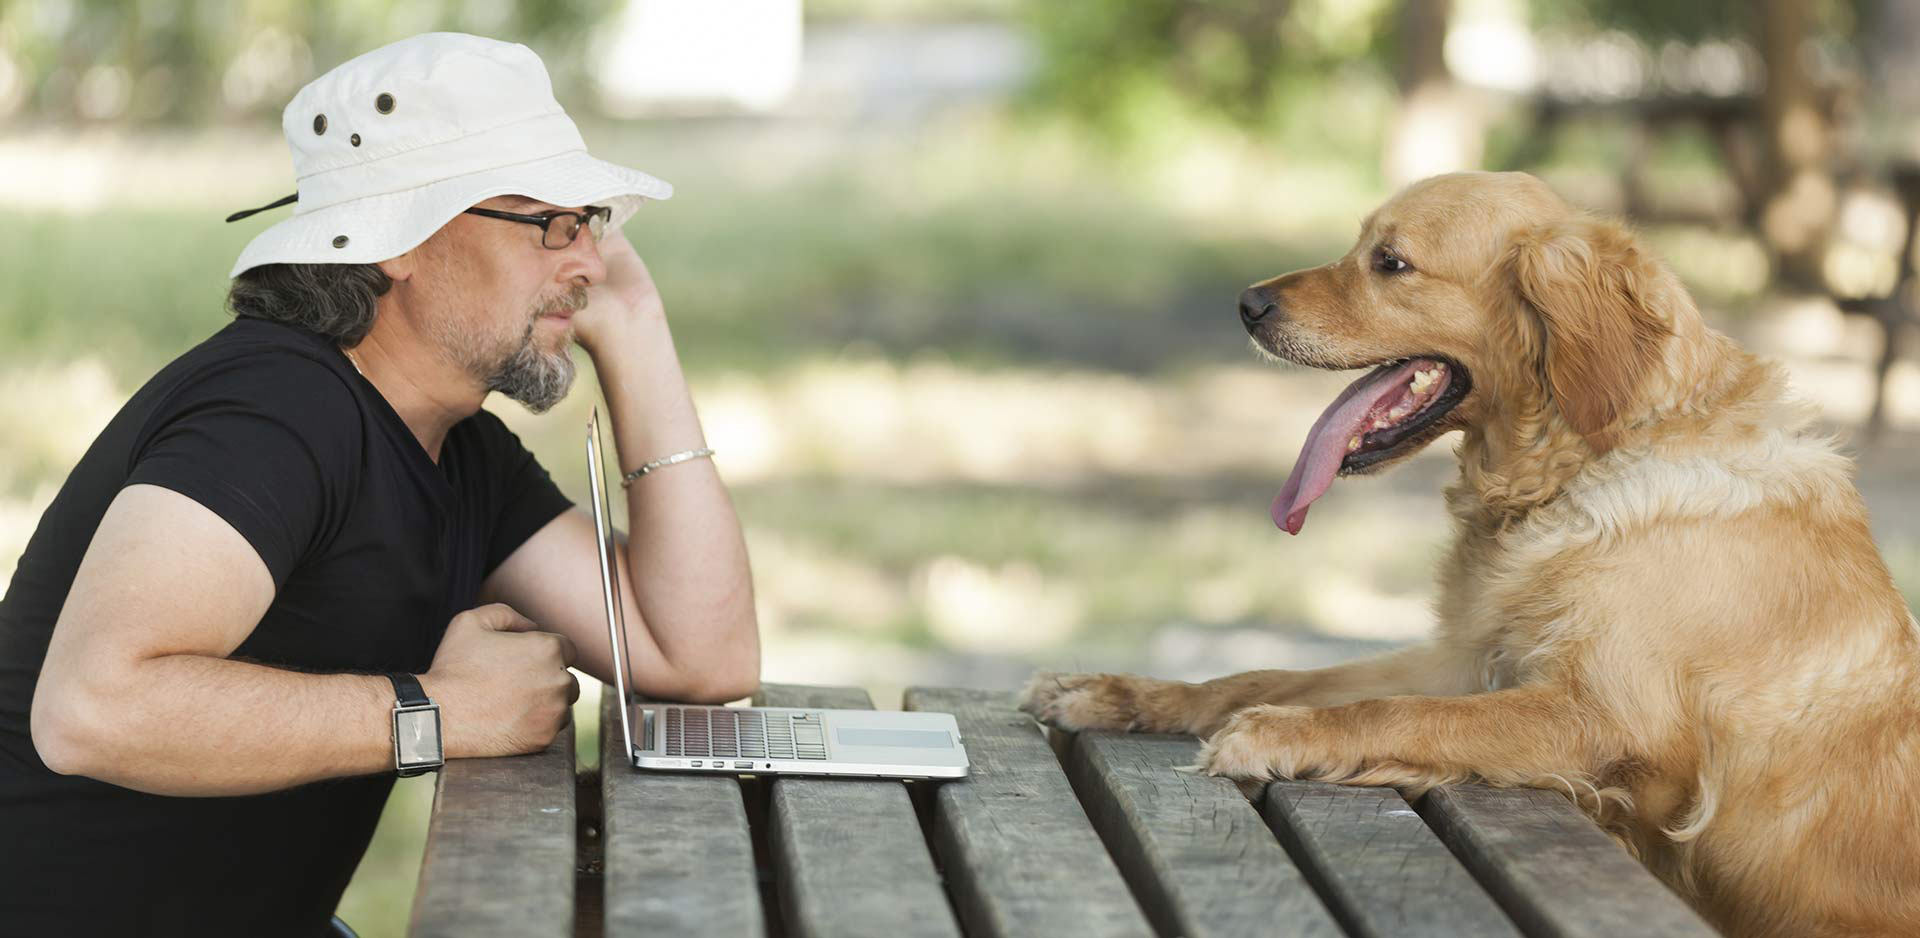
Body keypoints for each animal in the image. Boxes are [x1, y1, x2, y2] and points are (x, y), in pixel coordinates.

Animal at [1029, 171, 1920, 932]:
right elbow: (1269, 676)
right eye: (1360, 246)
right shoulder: (1464, 660)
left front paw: (1276, 737)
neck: (1575, 468)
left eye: (1391, 262)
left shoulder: (1614, 721)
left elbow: (1395, 713)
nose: (1247, 303)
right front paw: (1116, 692)